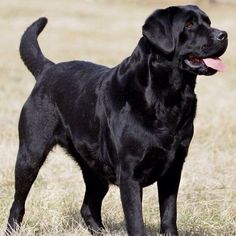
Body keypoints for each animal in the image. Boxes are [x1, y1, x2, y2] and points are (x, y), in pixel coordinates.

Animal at [7, 4, 227, 236]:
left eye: (208, 22)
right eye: (189, 24)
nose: (223, 35)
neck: (167, 97)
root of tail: (47, 69)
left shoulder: (173, 168)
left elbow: (169, 216)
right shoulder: (130, 174)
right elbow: (136, 222)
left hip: (95, 168)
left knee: (88, 206)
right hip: (30, 154)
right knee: (18, 203)